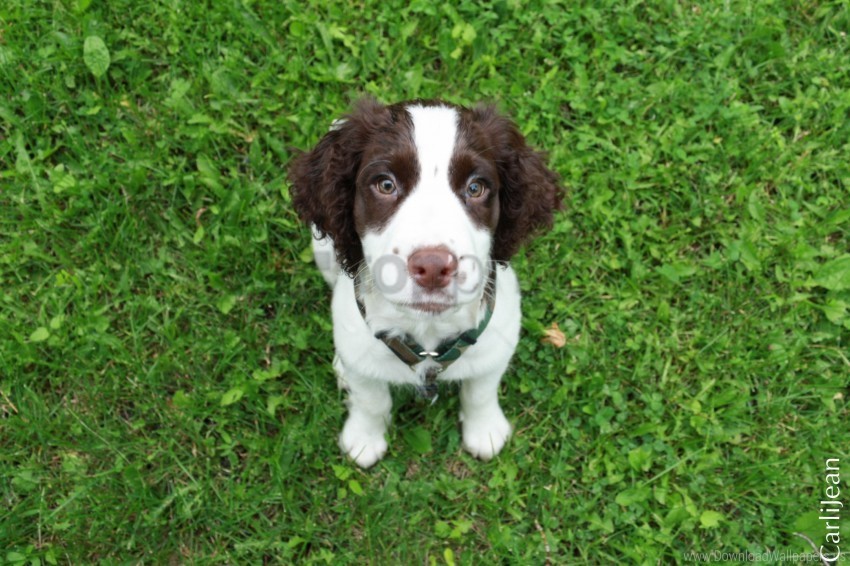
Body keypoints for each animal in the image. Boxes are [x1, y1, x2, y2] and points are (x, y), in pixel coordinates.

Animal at [288, 98, 560, 470]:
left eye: (476, 187)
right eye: (385, 185)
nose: (432, 267)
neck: (427, 331)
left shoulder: (497, 340)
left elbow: (481, 389)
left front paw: (485, 430)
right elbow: (370, 398)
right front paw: (364, 439)